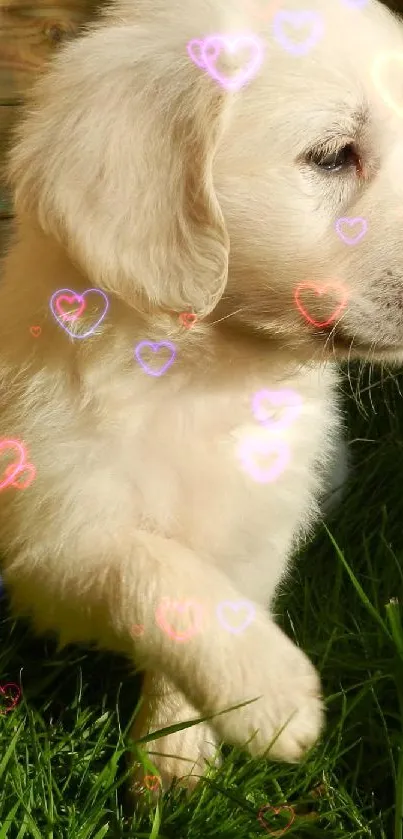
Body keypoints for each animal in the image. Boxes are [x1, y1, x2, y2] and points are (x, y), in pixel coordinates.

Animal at [0, 0, 402, 796]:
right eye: (332, 155)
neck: (210, 378)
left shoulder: (258, 527)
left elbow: (210, 603)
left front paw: (175, 761)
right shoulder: (45, 521)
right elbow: (146, 564)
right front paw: (270, 694)